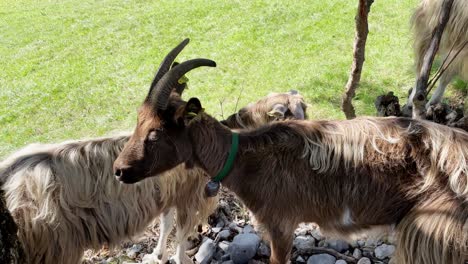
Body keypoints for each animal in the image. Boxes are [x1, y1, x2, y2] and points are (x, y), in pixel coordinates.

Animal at [0, 39, 308, 264]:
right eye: (288, 113)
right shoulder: (189, 197)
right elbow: (180, 233)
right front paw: (179, 258)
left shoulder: (169, 196)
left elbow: (165, 223)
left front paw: (157, 254)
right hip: (54, 247)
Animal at [114, 50, 468, 262]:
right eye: (137, 121)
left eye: (154, 133)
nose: (119, 169)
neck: (246, 159)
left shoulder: (281, 224)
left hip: (431, 233)